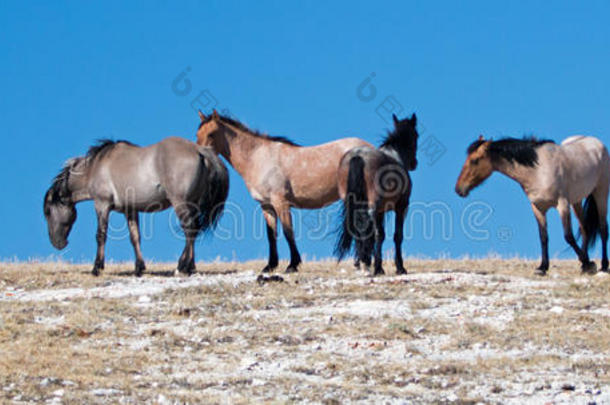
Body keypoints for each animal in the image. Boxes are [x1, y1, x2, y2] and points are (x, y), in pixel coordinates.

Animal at [43, 137, 228, 276]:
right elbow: (135, 237)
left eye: (47, 212)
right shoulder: (130, 209)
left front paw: (97, 268)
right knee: (194, 230)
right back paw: (190, 267)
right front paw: (139, 267)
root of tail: (198, 149)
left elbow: (101, 235)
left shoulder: (102, 205)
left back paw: (182, 267)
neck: (94, 168)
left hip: (180, 203)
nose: (57, 243)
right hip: (193, 204)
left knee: (189, 229)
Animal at [197, 109, 372, 272]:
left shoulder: (281, 202)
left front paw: (293, 265)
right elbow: (271, 235)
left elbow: (288, 232)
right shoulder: (266, 206)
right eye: (197, 134)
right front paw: (270, 266)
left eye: (211, 134)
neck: (258, 158)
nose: (202, 157)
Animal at [332, 113, 418, 274]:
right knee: (377, 233)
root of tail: (357, 156)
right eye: (416, 135)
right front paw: (400, 267)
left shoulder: (381, 212)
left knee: (357, 229)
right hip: (375, 205)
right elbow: (397, 236)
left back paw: (363, 261)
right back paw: (377, 267)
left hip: (351, 203)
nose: (414, 163)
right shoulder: (401, 207)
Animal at [454, 136, 604, 274]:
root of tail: (595, 141)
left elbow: (569, 236)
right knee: (584, 228)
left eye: (474, 161)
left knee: (603, 228)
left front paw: (588, 263)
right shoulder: (538, 208)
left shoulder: (562, 205)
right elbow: (543, 237)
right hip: (576, 201)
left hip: (600, 193)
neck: (538, 171)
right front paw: (543, 267)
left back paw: (603, 265)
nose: (458, 189)